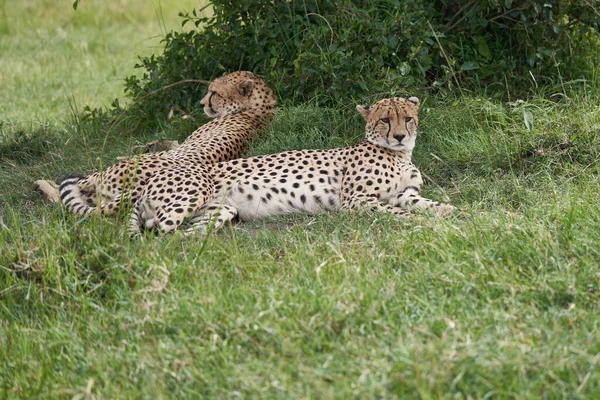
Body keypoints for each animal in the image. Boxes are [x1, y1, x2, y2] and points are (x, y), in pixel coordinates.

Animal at [32, 72, 276, 216]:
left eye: (214, 93)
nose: (201, 103)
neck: (259, 109)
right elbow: (171, 141)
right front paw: (147, 144)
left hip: (101, 177)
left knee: (67, 193)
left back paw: (43, 184)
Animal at [127, 95, 454, 236]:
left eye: (408, 118)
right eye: (385, 119)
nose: (399, 136)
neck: (399, 155)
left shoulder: (405, 194)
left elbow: (433, 205)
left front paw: (456, 214)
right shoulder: (357, 201)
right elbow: (400, 213)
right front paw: (426, 223)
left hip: (219, 212)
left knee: (182, 235)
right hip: (189, 197)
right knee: (152, 231)